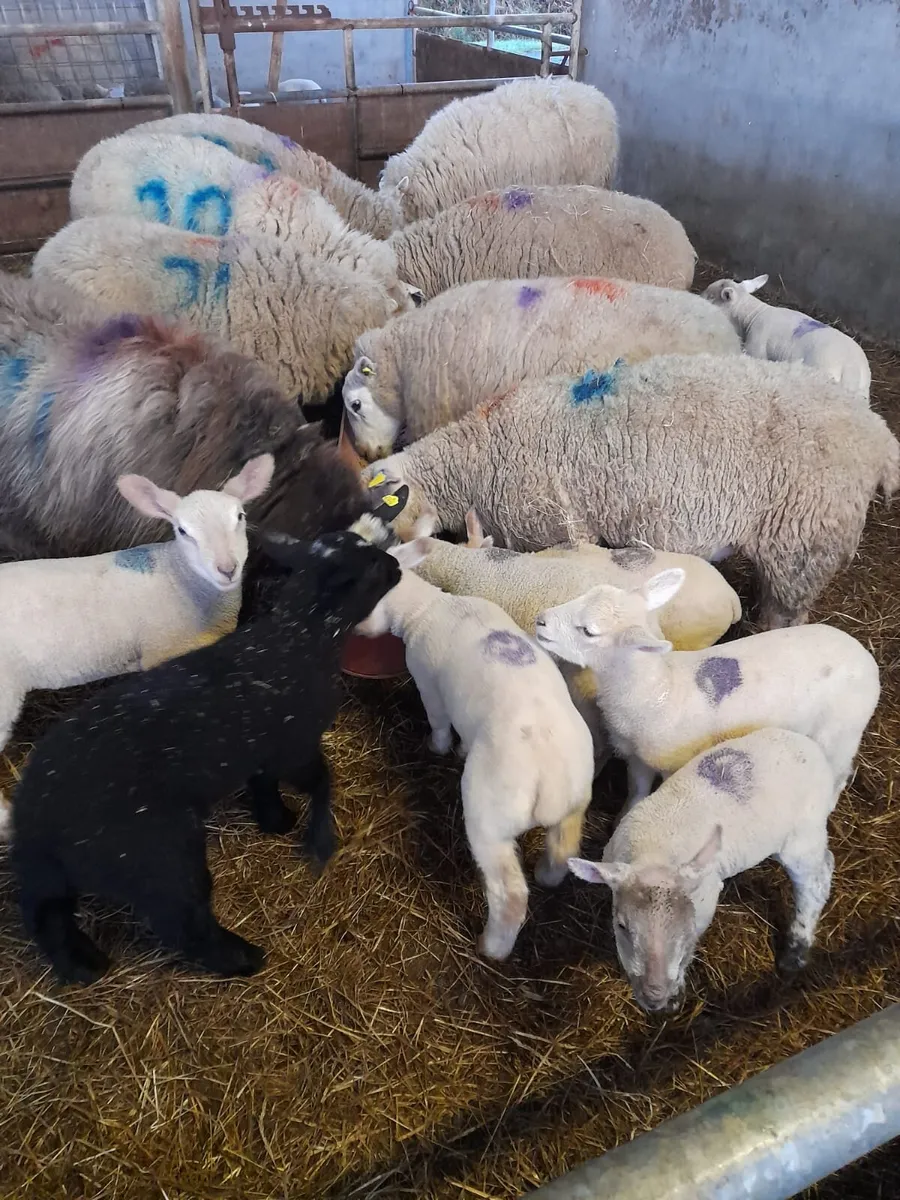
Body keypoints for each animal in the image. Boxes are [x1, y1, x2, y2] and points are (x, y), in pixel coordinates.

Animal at [11, 530, 402, 984]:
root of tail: (36, 818)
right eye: (371, 563)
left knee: (44, 912)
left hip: (56, 868)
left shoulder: (262, 749)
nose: (396, 565)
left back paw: (82, 965)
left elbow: (264, 783)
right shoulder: (295, 744)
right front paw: (320, 841)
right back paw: (243, 958)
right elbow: (323, 780)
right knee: (181, 920)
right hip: (159, 853)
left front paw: (276, 820)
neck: (299, 636)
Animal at [355, 538, 595, 961]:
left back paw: (491, 947)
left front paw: (436, 749)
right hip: (575, 802)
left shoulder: (428, 684)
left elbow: (438, 722)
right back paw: (547, 876)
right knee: (562, 850)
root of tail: (548, 780)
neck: (428, 606)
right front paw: (460, 750)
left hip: (489, 817)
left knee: (510, 894)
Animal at [535, 568, 880, 808]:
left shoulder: (673, 764)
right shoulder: (639, 758)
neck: (659, 691)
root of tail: (867, 660)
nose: (540, 620)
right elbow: (636, 793)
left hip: (841, 733)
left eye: (588, 631)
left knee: (838, 775)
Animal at [568, 728, 839, 1012]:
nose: (654, 997)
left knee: (816, 882)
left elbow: (687, 951)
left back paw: (795, 952)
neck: (656, 852)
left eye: (686, 925)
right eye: (621, 926)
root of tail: (808, 747)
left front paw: (674, 999)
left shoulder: (704, 904)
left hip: (803, 834)